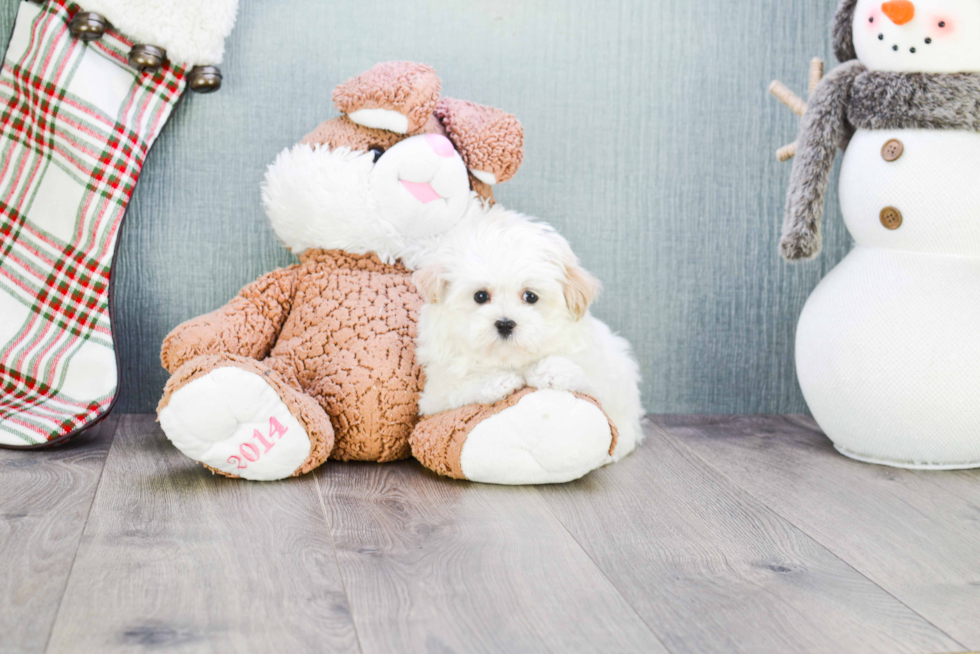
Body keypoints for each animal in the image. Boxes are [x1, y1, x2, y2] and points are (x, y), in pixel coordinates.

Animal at [414, 208, 644, 458]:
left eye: (530, 296)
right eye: (480, 296)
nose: (505, 323)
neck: (512, 358)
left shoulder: (601, 376)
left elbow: (588, 380)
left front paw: (549, 371)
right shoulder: (434, 395)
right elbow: (458, 387)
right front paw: (497, 380)